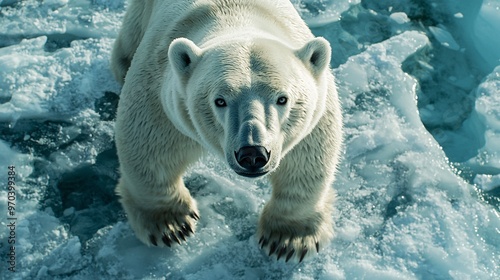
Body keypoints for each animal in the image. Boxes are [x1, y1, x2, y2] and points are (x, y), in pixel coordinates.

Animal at [111, 0, 342, 262]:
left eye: (282, 99)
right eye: (220, 101)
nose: (252, 154)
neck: (236, 16)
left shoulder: (313, 112)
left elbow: (306, 159)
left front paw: (288, 240)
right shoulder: (161, 95)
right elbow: (148, 150)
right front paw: (171, 225)